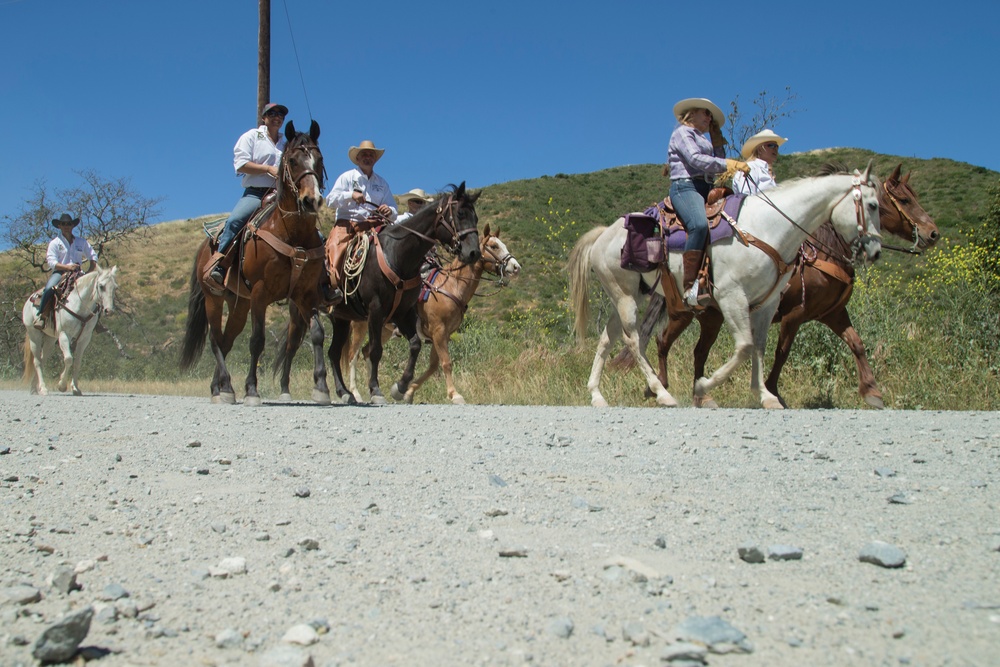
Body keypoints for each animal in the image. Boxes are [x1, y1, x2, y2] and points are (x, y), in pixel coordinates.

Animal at [21, 266, 120, 396]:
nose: (109, 311)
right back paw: (43, 388)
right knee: (37, 361)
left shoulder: (84, 339)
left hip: (50, 339)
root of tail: (29, 300)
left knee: (42, 360)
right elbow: (68, 359)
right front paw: (62, 385)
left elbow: (77, 362)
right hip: (34, 335)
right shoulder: (64, 335)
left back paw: (34, 388)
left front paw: (75, 388)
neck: (80, 305)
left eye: (115, 287)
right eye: (101, 286)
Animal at [180, 118, 328, 408]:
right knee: (216, 339)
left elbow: (317, 333)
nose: (311, 200)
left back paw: (219, 388)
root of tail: (205, 247)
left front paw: (321, 388)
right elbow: (257, 341)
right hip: (214, 298)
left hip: (238, 304)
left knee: (226, 340)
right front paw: (251, 390)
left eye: (319, 159)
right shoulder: (260, 294)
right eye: (292, 160)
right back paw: (226, 388)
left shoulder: (305, 295)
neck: (292, 233)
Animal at [278, 181, 484, 408]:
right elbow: (376, 351)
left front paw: (400, 387)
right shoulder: (376, 310)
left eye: (476, 218)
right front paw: (376, 390)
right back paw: (288, 389)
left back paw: (344, 393)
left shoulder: (404, 313)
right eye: (460, 214)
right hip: (301, 312)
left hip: (341, 318)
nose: (474, 253)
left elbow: (415, 345)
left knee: (333, 352)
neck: (397, 255)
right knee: (292, 346)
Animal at [342, 223, 520, 402]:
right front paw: (454, 394)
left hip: (383, 329)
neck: (452, 286)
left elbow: (433, 367)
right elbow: (446, 363)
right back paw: (356, 393)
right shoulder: (438, 331)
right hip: (361, 325)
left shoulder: (442, 335)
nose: (516, 267)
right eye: (494, 246)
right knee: (352, 356)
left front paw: (407, 392)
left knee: (366, 351)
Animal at [616, 164, 936, 410]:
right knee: (663, 341)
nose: (933, 233)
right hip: (686, 311)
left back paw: (697, 395)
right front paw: (772, 391)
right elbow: (779, 352)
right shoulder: (793, 313)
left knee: (696, 351)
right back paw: (662, 387)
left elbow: (855, 343)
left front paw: (872, 392)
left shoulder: (828, 313)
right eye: (902, 200)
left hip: (711, 318)